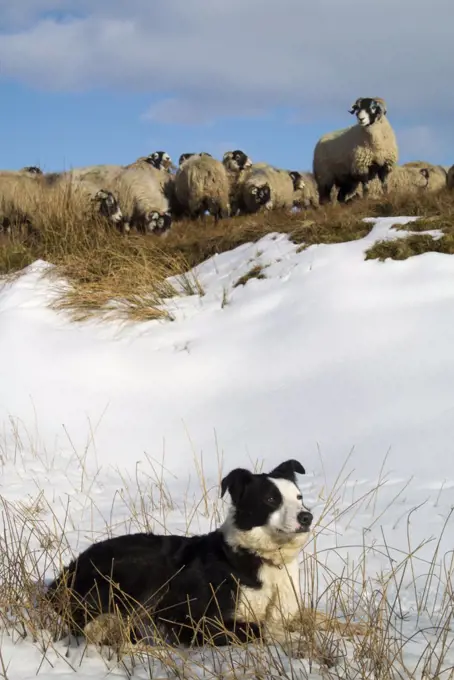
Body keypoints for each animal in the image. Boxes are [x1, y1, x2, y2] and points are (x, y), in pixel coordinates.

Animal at [46, 460, 316, 652]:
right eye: (271, 499)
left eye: (299, 497)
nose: (307, 517)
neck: (263, 557)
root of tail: (63, 576)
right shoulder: (199, 622)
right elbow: (265, 628)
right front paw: (299, 641)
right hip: (146, 571)